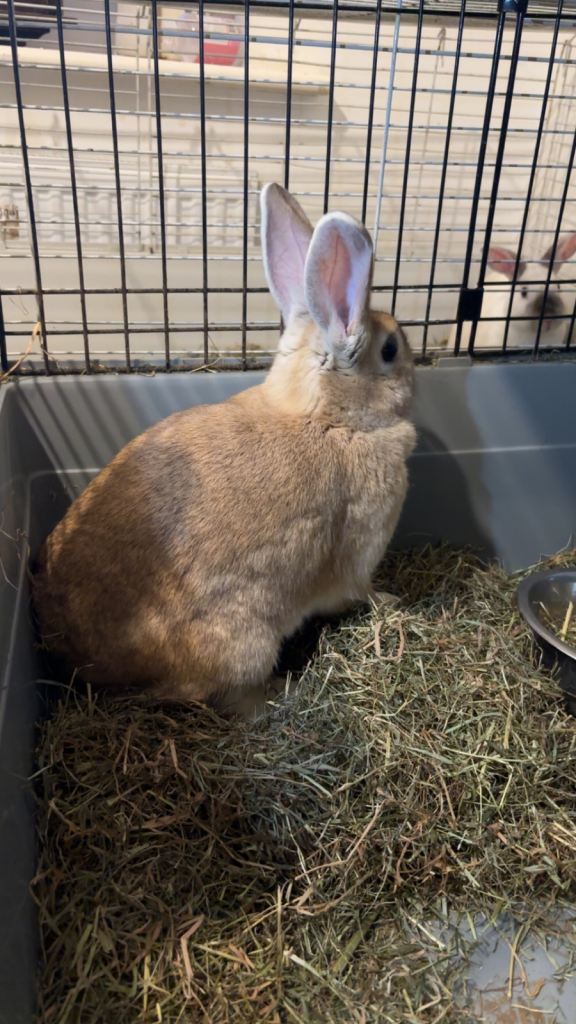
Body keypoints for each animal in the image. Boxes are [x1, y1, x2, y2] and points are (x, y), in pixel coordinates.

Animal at [33, 183, 416, 708]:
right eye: (391, 349)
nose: (415, 372)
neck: (329, 419)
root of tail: (76, 654)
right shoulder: (358, 554)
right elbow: (360, 591)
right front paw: (393, 601)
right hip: (246, 643)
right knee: (231, 699)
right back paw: (282, 690)